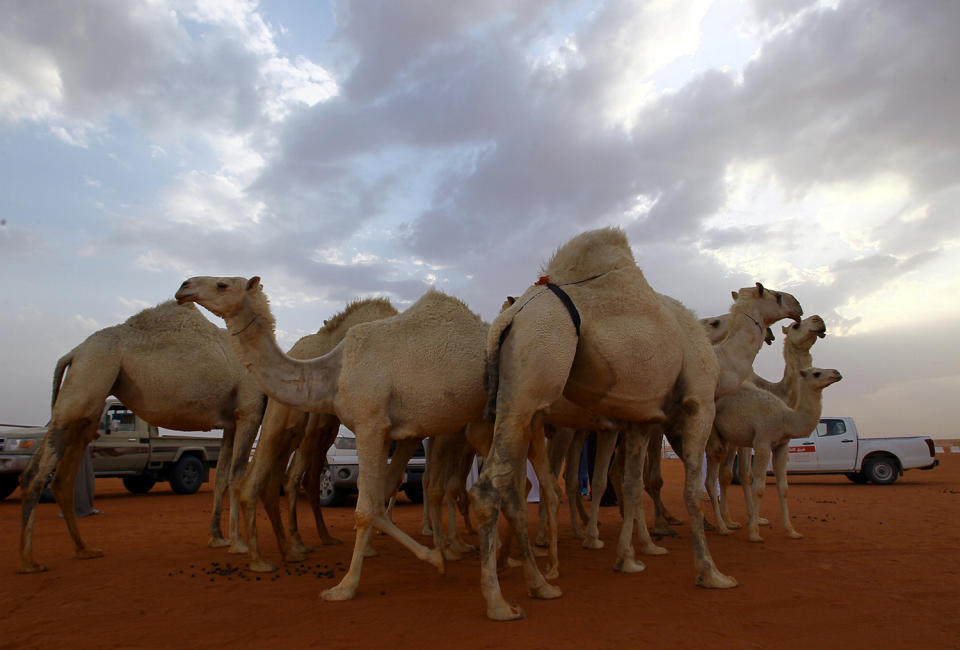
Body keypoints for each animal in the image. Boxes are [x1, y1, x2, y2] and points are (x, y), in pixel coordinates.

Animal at [17, 302, 266, 568]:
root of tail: (74, 353)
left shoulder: (231, 421)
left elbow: (220, 478)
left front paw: (217, 537)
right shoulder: (249, 411)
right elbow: (236, 476)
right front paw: (239, 544)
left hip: (85, 397)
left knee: (60, 478)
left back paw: (84, 549)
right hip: (90, 375)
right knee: (38, 474)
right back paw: (29, 561)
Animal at [233, 296, 398, 568]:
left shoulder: (324, 434)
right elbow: (297, 480)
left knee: (281, 481)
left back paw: (312, 541)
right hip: (284, 430)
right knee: (271, 478)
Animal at [474, 228, 744, 616]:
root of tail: (508, 320)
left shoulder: (641, 419)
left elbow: (630, 484)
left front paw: (628, 559)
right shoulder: (699, 404)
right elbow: (692, 492)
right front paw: (711, 574)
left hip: (513, 398)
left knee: (510, 485)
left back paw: (538, 584)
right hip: (537, 366)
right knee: (491, 487)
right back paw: (500, 602)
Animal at [704, 368, 840, 540]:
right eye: (816, 373)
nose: (837, 373)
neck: (785, 418)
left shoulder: (781, 445)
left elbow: (783, 488)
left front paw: (792, 531)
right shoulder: (763, 442)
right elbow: (759, 487)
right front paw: (754, 534)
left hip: (730, 438)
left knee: (725, 474)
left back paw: (730, 523)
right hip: (712, 432)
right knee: (710, 478)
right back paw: (722, 528)